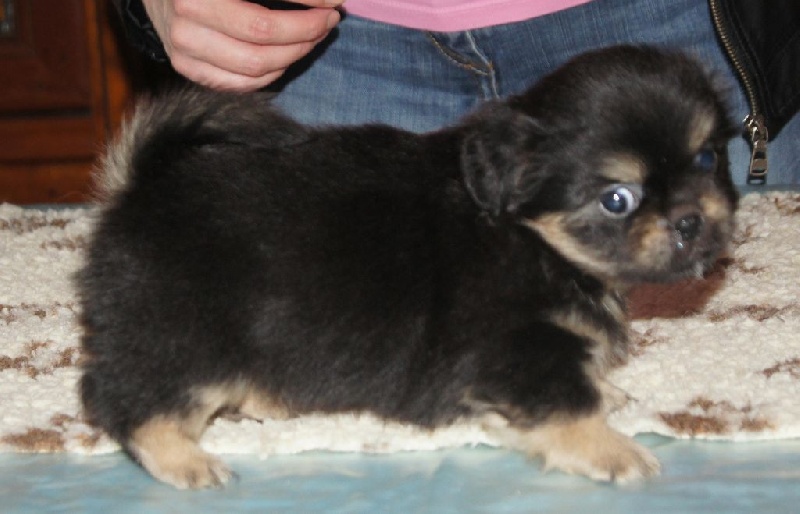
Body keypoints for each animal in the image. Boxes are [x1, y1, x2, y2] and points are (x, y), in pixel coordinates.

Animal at [77, 45, 738, 489]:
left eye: (708, 159)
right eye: (616, 199)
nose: (689, 220)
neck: (526, 234)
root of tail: (140, 188)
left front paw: (608, 389)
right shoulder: (509, 349)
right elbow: (564, 401)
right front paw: (612, 451)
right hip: (186, 334)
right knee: (124, 400)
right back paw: (184, 460)